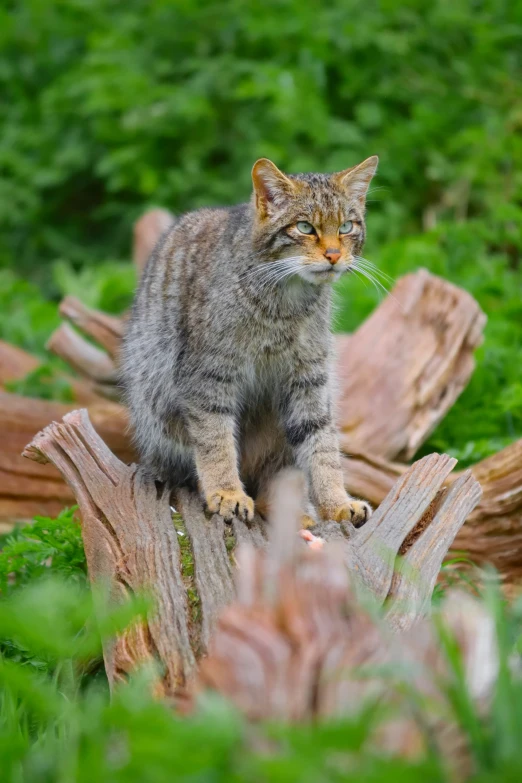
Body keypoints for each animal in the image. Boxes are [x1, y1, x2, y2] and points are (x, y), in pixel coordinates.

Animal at [120, 156, 376, 528]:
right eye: (304, 227)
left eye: (346, 227)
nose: (333, 255)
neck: (285, 302)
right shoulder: (208, 375)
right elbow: (215, 440)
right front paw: (226, 492)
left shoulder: (310, 379)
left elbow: (322, 444)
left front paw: (336, 502)